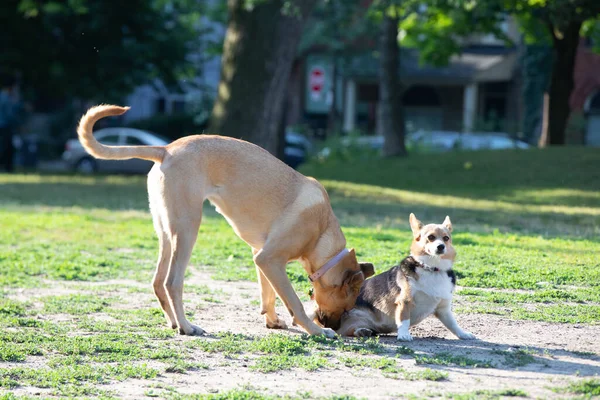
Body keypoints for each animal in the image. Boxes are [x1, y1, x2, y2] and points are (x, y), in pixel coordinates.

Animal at [77, 104, 372, 336]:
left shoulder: (261, 258)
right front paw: (314, 330)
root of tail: (166, 149)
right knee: (173, 282)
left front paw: (272, 320)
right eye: (347, 305)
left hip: (165, 233)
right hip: (187, 229)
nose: (334, 326)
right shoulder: (269, 259)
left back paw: (174, 323)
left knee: (158, 282)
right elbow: (293, 301)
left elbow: (268, 294)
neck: (322, 232)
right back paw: (187, 326)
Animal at [338, 212, 474, 340]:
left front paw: (464, 334)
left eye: (446, 238)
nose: (441, 246)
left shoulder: (443, 309)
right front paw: (404, 335)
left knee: (350, 330)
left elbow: (453, 324)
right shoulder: (404, 301)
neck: (432, 269)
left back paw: (362, 331)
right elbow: (404, 321)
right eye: (431, 237)